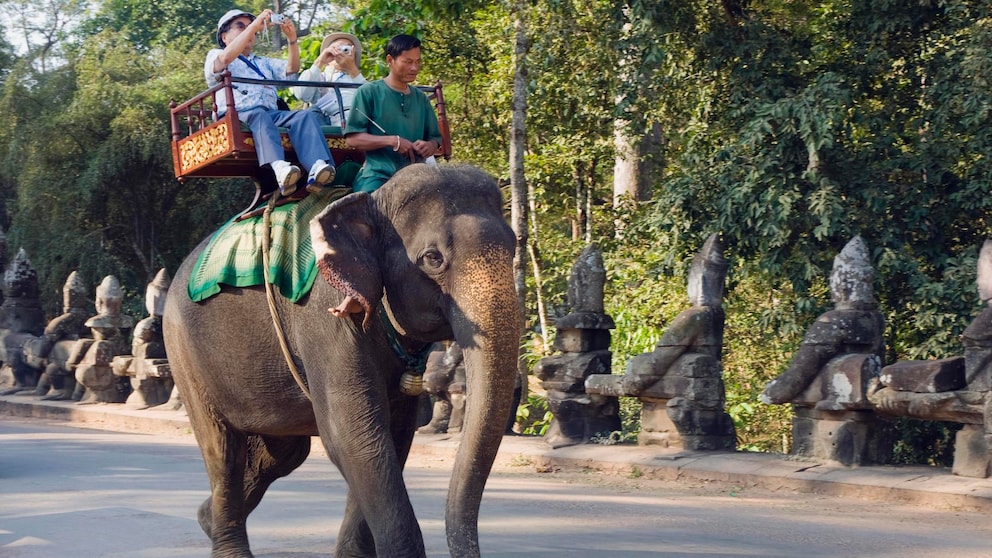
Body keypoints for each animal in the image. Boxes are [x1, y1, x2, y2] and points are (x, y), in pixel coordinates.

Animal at [165, 164, 520, 556]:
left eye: (514, 247)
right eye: (433, 258)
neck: (373, 201)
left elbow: (392, 437)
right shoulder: (326, 318)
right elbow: (354, 437)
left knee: (280, 455)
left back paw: (206, 519)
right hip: (183, 351)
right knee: (223, 451)